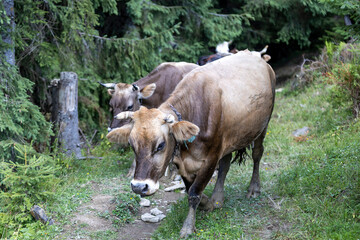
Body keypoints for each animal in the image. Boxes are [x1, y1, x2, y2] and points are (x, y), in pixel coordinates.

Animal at [107, 51, 276, 237]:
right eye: (132, 145)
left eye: (160, 145)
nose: (138, 187)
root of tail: (254, 55)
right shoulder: (183, 162)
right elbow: (191, 189)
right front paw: (208, 203)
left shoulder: (211, 158)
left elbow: (194, 192)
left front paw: (188, 226)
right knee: (225, 164)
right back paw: (218, 198)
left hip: (263, 126)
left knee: (257, 154)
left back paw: (254, 188)